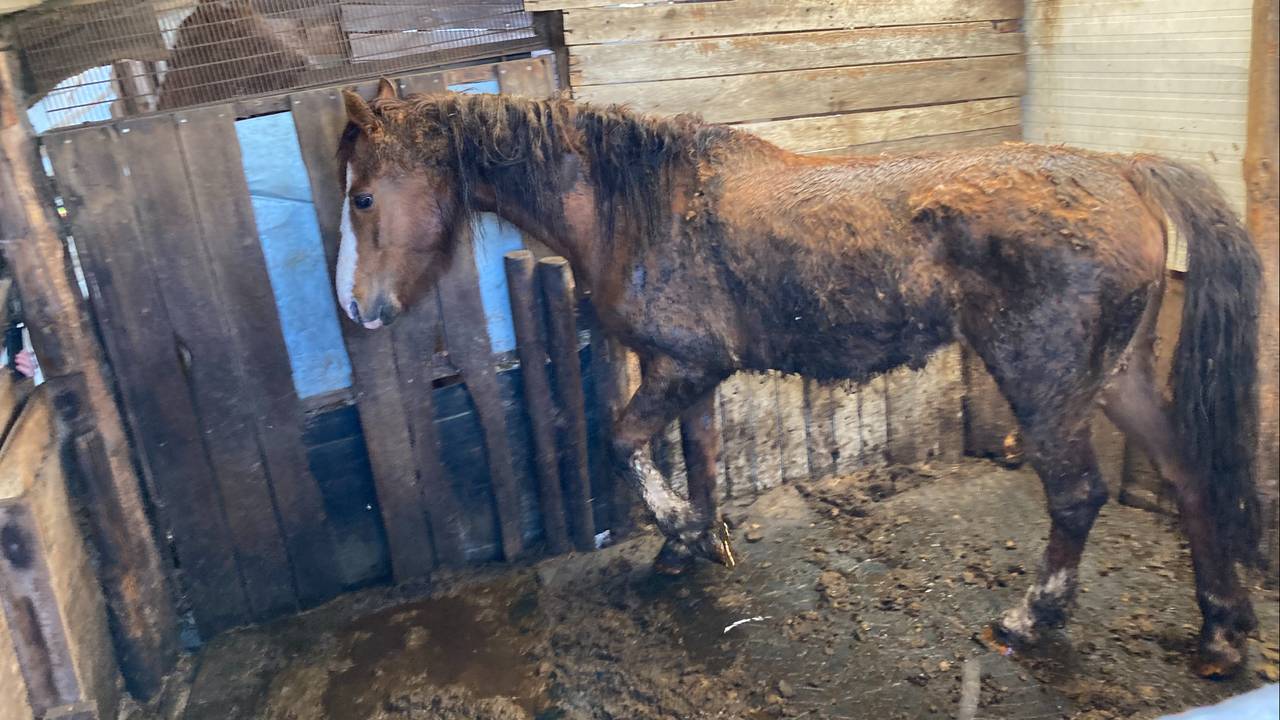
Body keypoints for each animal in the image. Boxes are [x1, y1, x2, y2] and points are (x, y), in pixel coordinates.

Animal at [332, 78, 1262, 678]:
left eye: (363, 198)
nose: (360, 310)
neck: (636, 205)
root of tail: (1128, 169)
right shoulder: (692, 374)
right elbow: (701, 456)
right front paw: (689, 545)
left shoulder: (682, 366)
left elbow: (623, 440)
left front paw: (680, 531)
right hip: (1117, 376)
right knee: (1188, 477)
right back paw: (1220, 634)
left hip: (1045, 383)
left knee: (1076, 496)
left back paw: (1028, 620)